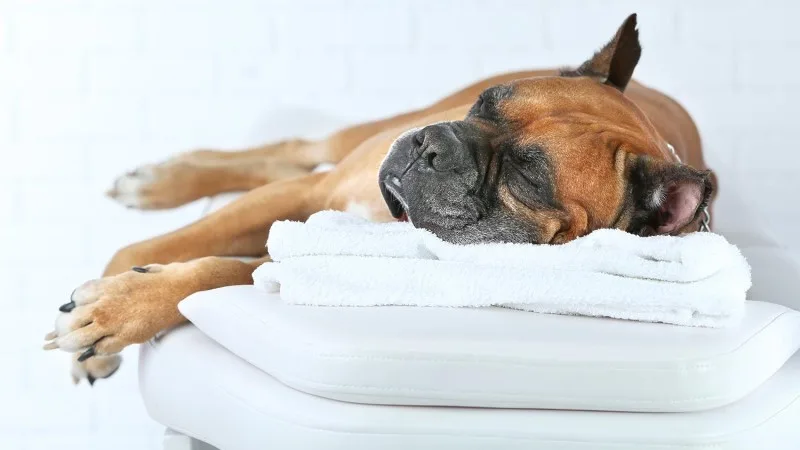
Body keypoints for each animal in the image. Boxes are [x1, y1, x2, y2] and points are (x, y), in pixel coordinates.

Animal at [43, 15, 712, 384]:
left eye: (528, 176)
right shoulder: (311, 192)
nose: (433, 144)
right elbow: (167, 245)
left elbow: (214, 269)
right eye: (486, 105)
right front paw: (113, 292)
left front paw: (121, 307)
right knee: (296, 148)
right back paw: (162, 181)